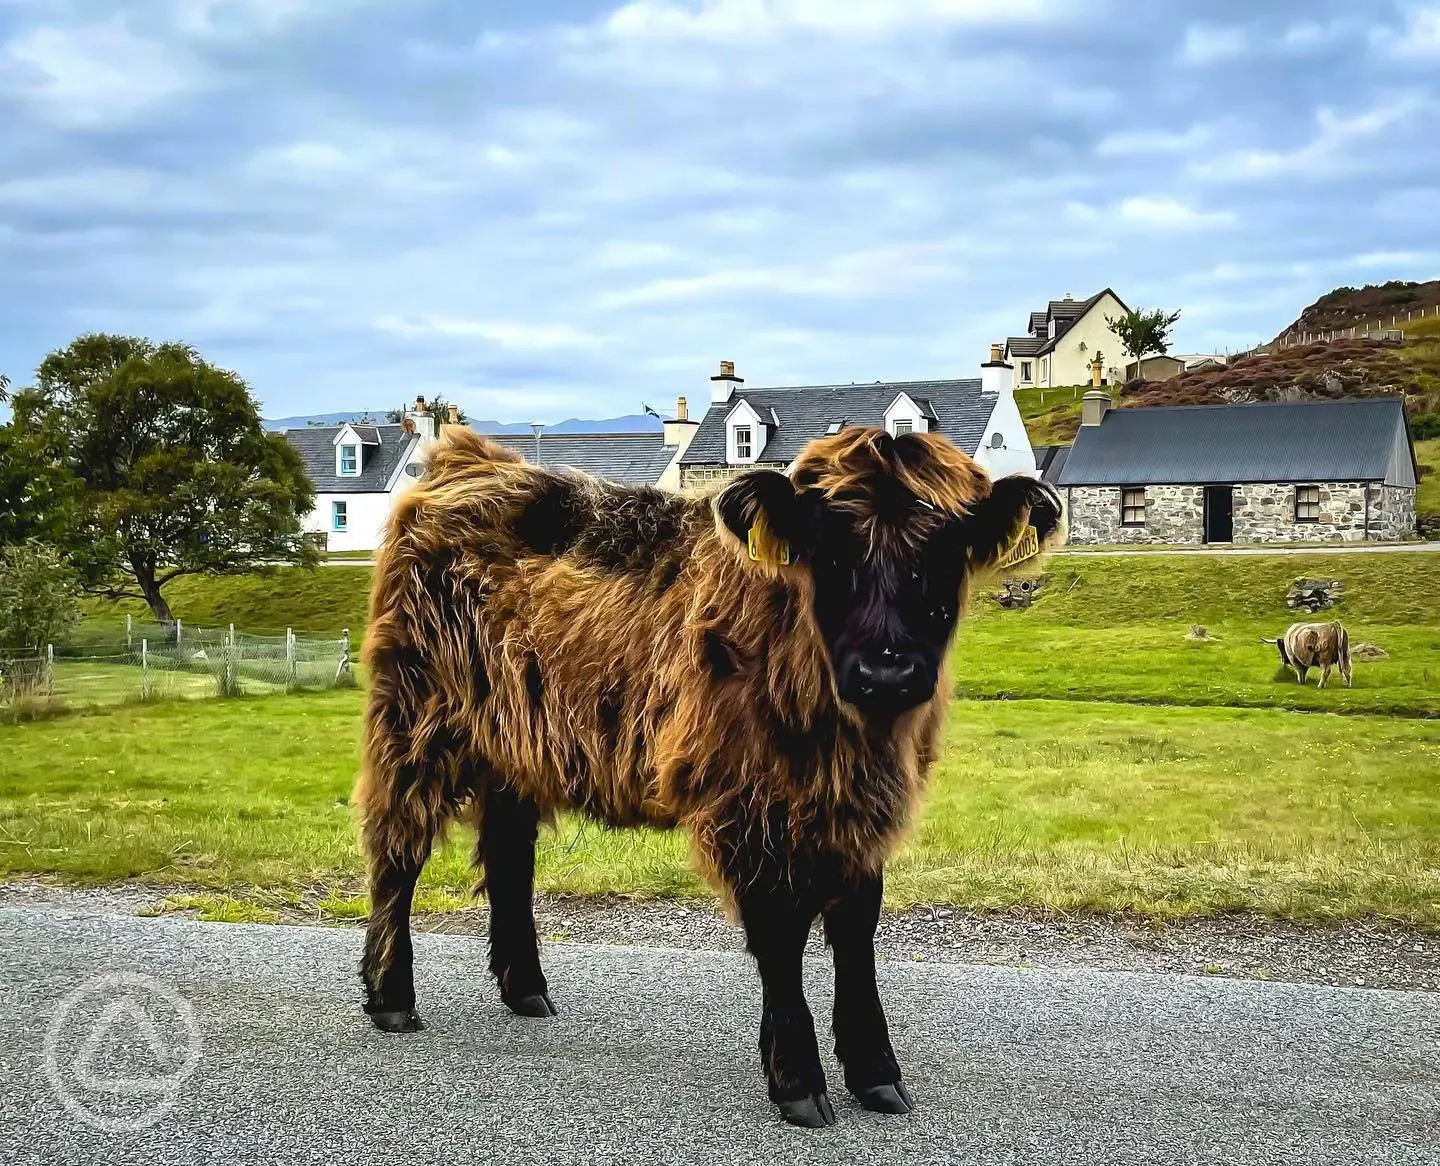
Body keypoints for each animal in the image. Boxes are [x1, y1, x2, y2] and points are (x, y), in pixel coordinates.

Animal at [354, 423, 1065, 1122]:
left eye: (945, 554)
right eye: (831, 554)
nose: (887, 672)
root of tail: (468, 459)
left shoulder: (862, 810)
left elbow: (856, 932)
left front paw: (874, 1073)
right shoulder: (745, 803)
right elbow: (780, 934)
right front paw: (796, 1078)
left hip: (514, 748)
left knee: (508, 855)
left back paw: (526, 989)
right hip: (414, 722)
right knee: (397, 849)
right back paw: (391, 997)